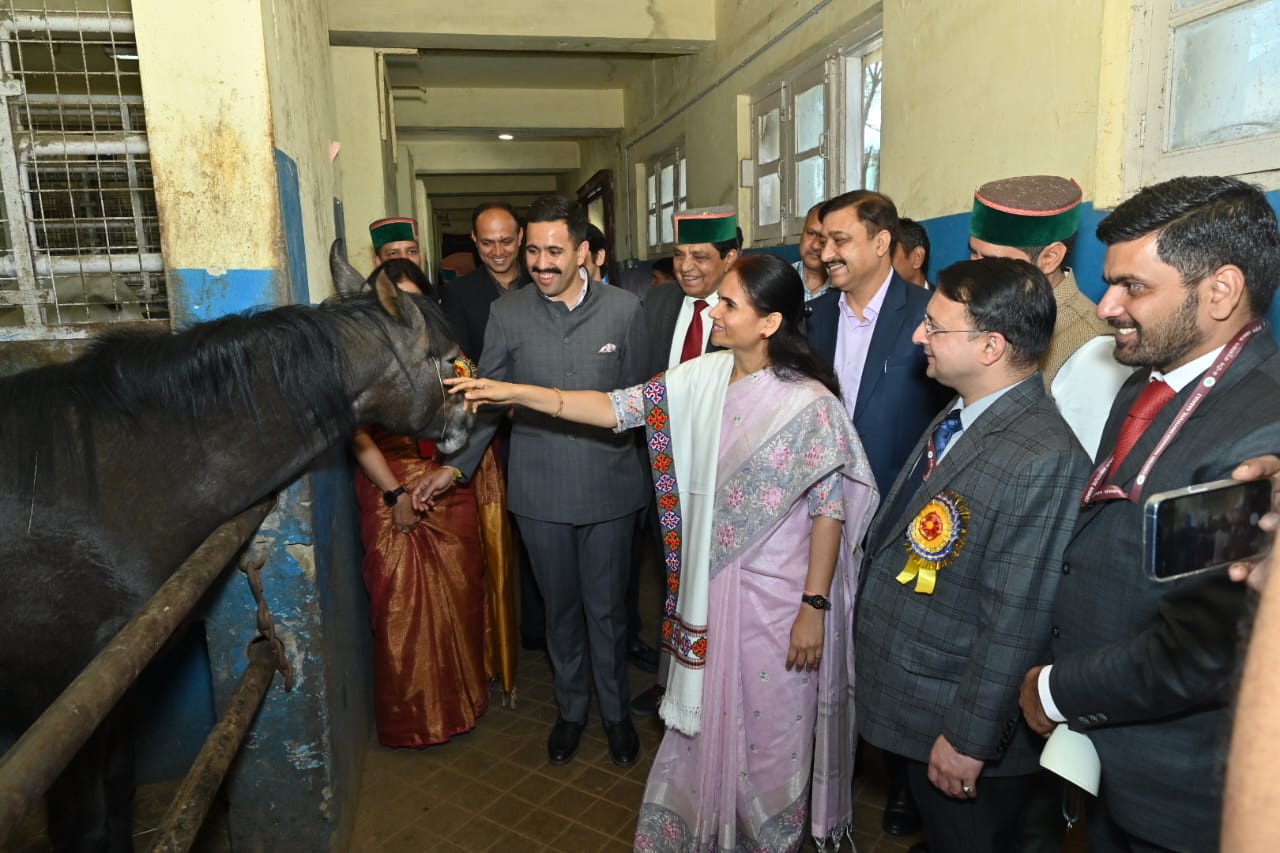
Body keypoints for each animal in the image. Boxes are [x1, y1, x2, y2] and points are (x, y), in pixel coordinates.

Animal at [0, 242, 473, 845]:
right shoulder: (57, 707)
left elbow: (119, 790)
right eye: (449, 360)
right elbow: (85, 825)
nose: (473, 419)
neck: (103, 487)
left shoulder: (113, 691)